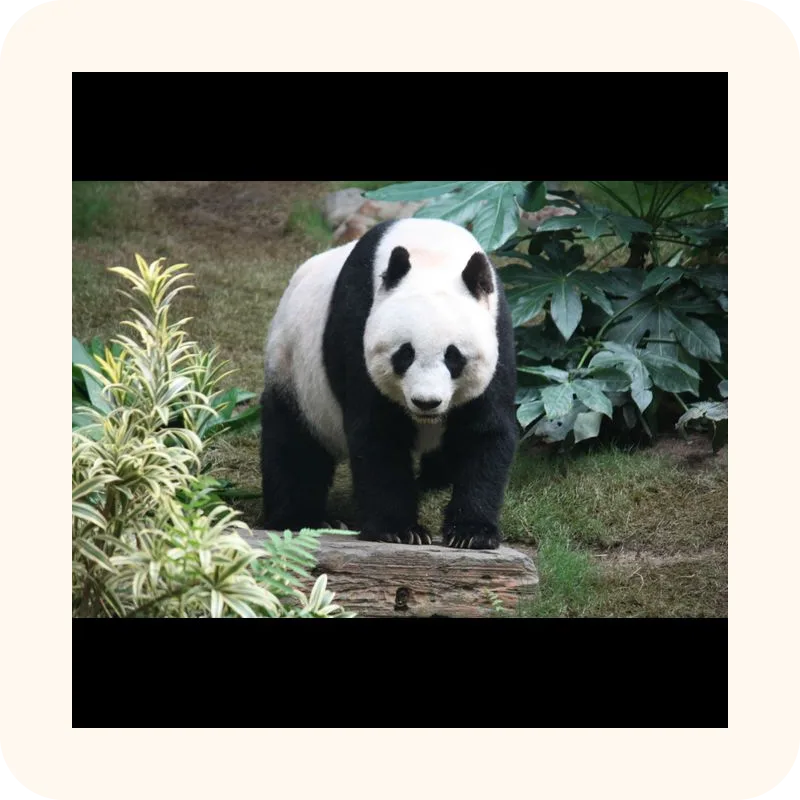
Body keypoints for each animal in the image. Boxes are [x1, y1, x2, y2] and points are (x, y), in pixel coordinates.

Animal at [259, 217, 518, 550]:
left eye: (454, 357)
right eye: (405, 354)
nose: (426, 402)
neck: (433, 253)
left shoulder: (498, 332)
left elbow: (483, 432)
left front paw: (471, 533)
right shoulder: (357, 322)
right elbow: (378, 432)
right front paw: (400, 530)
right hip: (294, 370)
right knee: (294, 445)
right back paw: (302, 518)